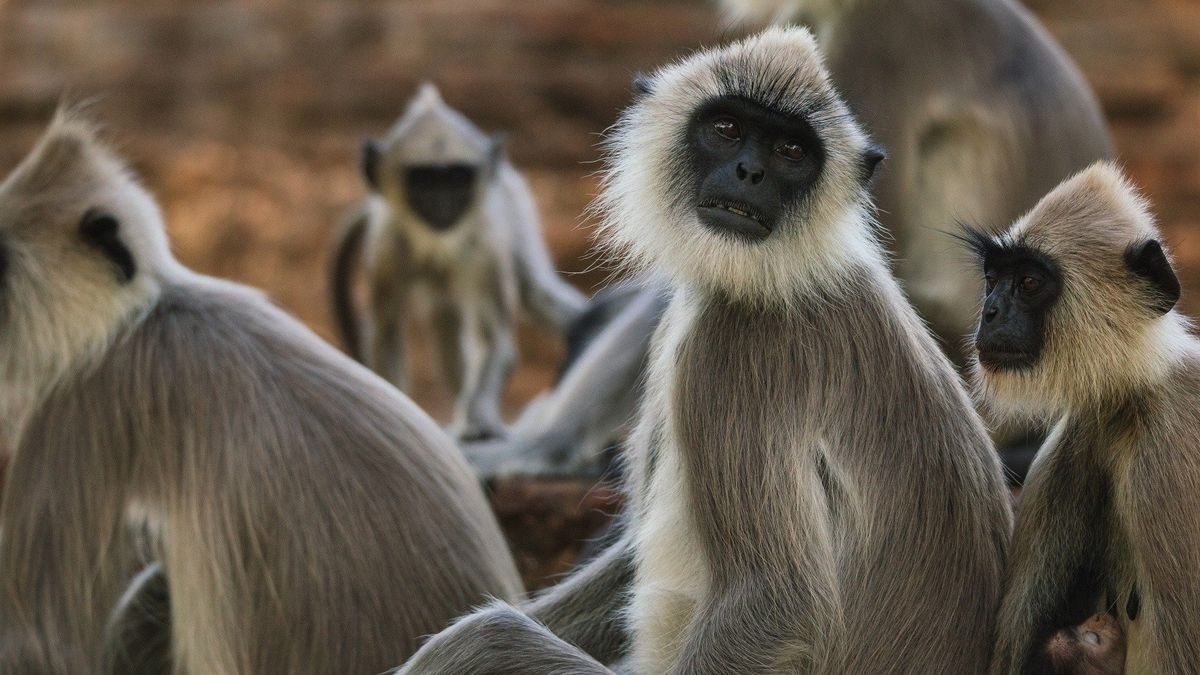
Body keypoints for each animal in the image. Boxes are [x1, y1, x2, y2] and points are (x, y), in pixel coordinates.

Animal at [330, 82, 585, 442]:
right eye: (424, 180)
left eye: (457, 178)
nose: (443, 202)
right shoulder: (388, 245)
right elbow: (386, 332)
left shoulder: (485, 245)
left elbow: (494, 341)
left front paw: (477, 424)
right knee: (444, 323)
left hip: (512, 201)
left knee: (536, 294)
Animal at [398, 26, 1012, 674]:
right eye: (726, 129)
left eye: (791, 150)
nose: (749, 172)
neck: (789, 271)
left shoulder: (737, 346)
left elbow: (776, 601)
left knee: (489, 636)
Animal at [963, 163, 1200, 675]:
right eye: (993, 278)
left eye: (1029, 283)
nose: (989, 312)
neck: (1136, 403)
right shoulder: (1079, 438)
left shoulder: (1170, 463)